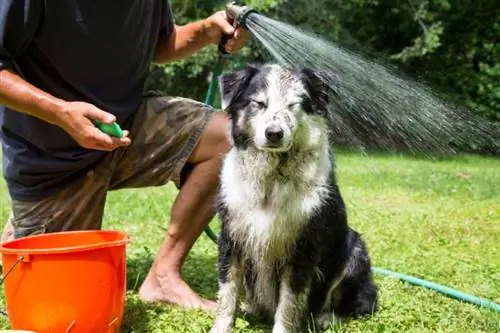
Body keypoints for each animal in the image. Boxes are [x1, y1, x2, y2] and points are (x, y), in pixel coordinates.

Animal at [209, 63, 376, 332]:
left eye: (294, 105)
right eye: (259, 103)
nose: (274, 133)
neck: (271, 178)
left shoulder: (302, 247)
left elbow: (288, 302)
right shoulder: (232, 236)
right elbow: (227, 290)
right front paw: (221, 327)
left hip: (355, 249)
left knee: (361, 303)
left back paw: (327, 317)